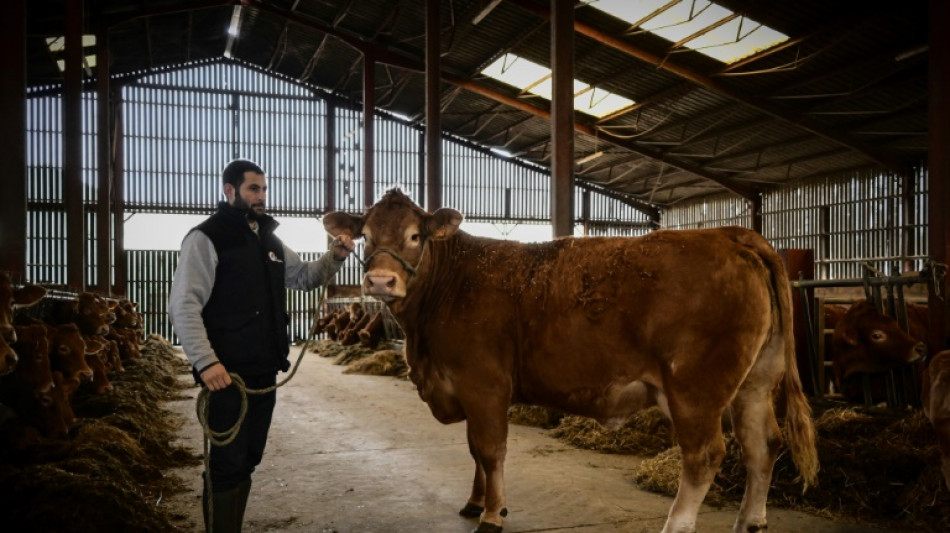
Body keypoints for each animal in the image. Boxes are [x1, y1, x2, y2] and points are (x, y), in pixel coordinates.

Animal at [326, 189, 820, 532]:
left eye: (415, 235)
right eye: (365, 236)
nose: (380, 280)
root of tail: (731, 233)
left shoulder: (483, 382)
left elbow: (490, 449)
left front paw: (492, 514)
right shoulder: (468, 387)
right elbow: (474, 451)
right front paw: (476, 501)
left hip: (695, 390)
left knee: (705, 456)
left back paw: (677, 524)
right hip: (755, 382)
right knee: (763, 445)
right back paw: (750, 521)